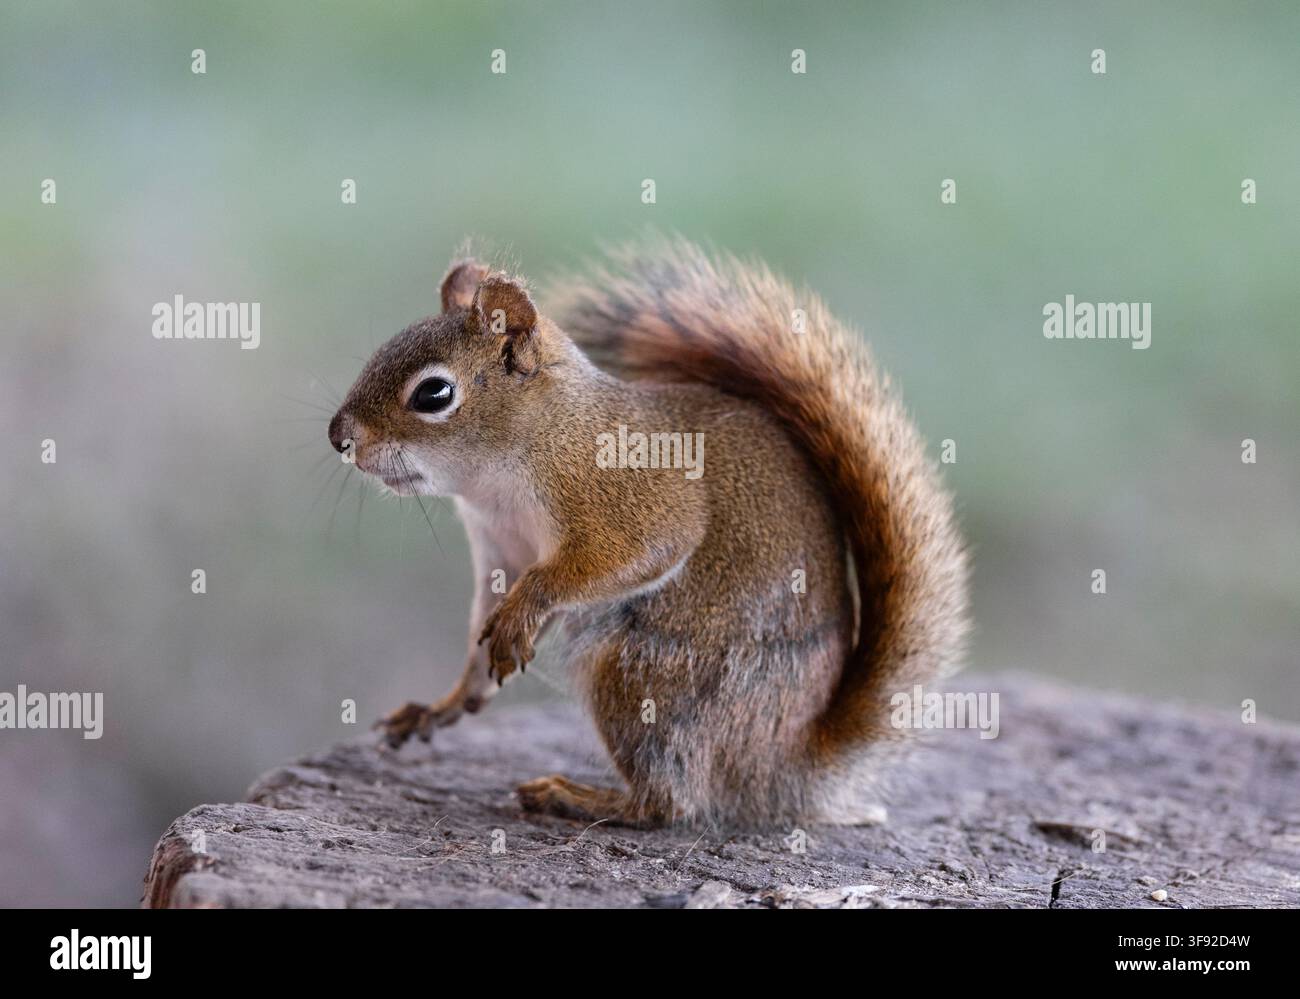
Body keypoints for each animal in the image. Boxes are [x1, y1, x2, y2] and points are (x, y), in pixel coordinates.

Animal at [328, 237, 969, 827]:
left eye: (433, 393)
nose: (339, 438)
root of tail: (785, 766)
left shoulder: (629, 490)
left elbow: (642, 548)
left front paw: (523, 613)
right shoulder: (503, 545)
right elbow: (487, 622)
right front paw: (448, 701)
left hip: (649, 673)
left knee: (670, 803)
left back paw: (578, 797)